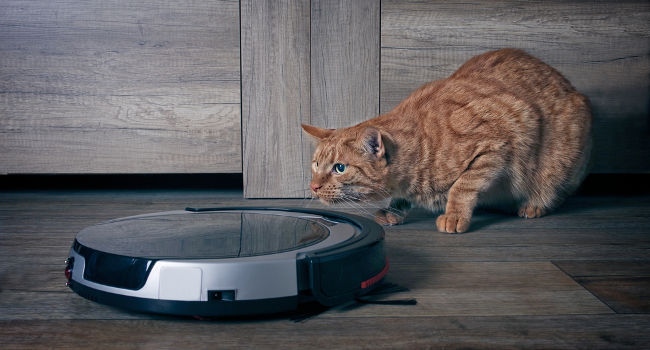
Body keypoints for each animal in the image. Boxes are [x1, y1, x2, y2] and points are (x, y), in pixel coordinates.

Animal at [302, 47, 588, 232]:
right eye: (315, 165)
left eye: (340, 168)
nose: (313, 186)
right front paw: (394, 210)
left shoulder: (495, 144)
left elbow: (462, 186)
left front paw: (453, 214)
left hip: (561, 161)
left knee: (555, 191)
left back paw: (535, 205)